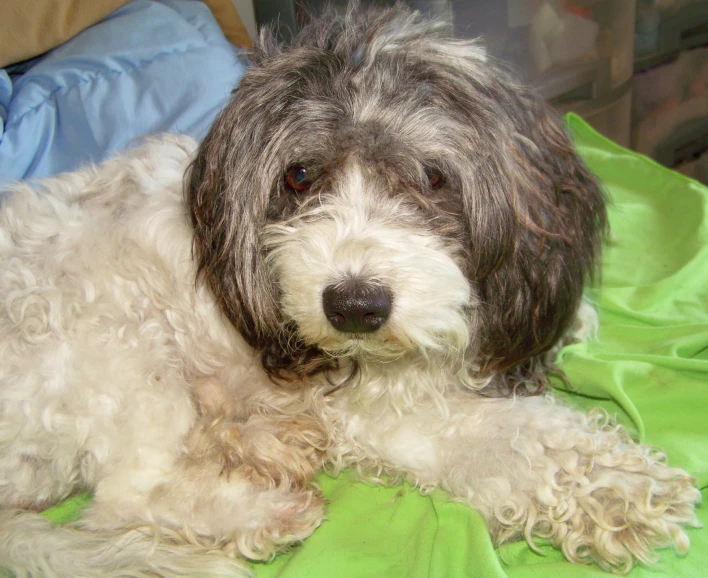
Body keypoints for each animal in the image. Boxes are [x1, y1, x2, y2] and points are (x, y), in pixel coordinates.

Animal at [0, 4, 700, 576]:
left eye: (433, 176)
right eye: (299, 176)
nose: (354, 308)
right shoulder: (389, 412)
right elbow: (520, 440)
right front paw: (621, 485)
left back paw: (267, 440)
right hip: (122, 357)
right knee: (128, 499)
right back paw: (266, 510)